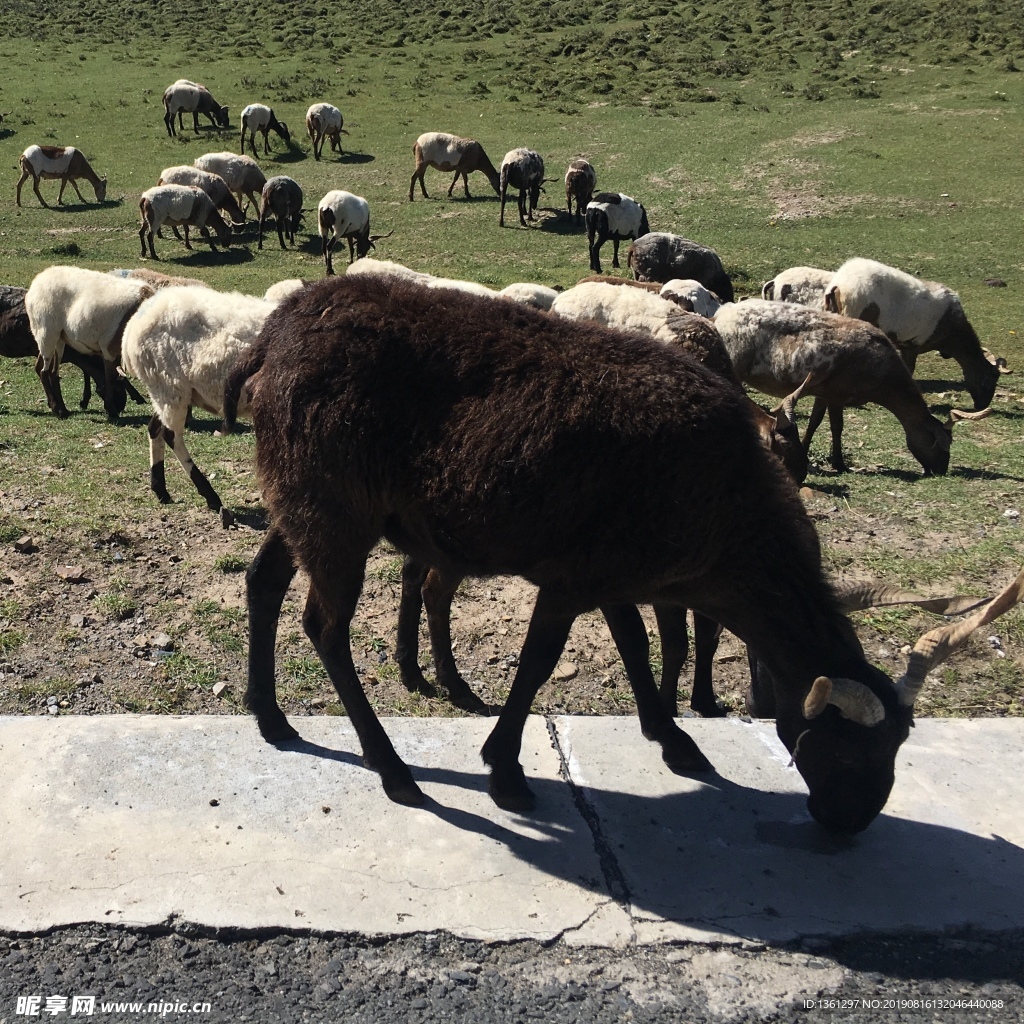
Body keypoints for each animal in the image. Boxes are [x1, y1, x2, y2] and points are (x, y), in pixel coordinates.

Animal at [24, 268, 151, 423]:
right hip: (46, 333)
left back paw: (63, 409)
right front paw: (111, 410)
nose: (121, 406)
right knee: (44, 371)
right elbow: (110, 377)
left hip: (59, 339)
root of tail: (37, 281)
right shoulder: (108, 348)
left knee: (52, 372)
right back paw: (57, 410)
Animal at [120, 288, 278, 524]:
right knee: (171, 435)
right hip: (170, 385)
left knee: (154, 428)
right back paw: (210, 496)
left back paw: (161, 491)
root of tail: (135, 324)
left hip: (166, 392)